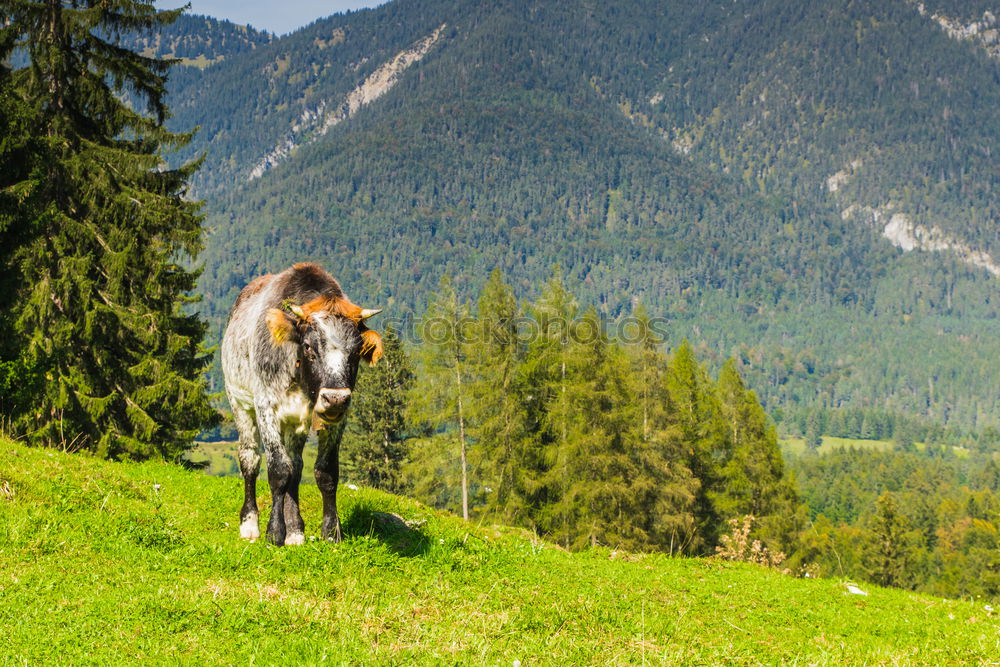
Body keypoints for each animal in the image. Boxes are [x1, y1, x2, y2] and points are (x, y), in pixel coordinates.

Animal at [223, 264, 382, 544]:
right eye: (308, 347)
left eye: (356, 351)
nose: (335, 398)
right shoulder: (266, 407)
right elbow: (277, 470)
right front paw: (274, 532)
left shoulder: (337, 419)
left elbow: (325, 472)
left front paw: (331, 531)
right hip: (239, 403)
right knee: (250, 458)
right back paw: (250, 524)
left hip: (295, 422)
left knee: (295, 465)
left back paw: (295, 530)